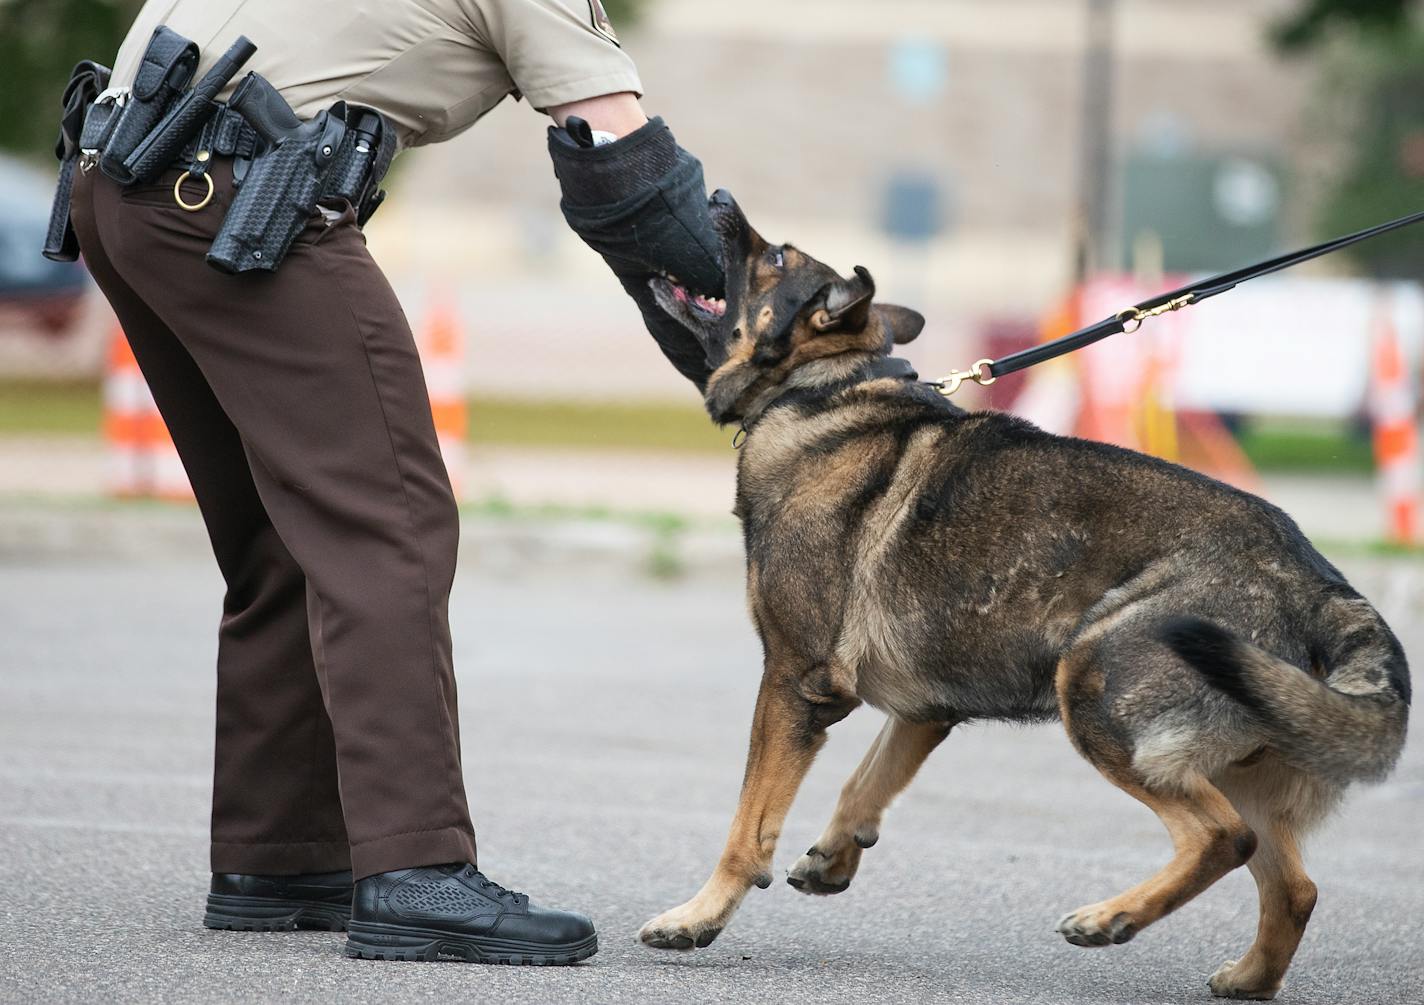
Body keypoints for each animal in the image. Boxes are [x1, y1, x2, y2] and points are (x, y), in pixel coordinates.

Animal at [640, 187, 1406, 996]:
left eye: (777, 255)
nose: (718, 198)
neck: (825, 391)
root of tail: (1318, 582)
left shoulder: (795, 683)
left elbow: (747, 825)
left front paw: (698, 916)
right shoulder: (923, 711)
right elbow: (865, 783)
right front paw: (836, 853)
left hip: (1097, 691)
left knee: (1222, 836)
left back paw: (1110, 918)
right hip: (1244, 757)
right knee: (1293, 886)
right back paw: (1247, 977)